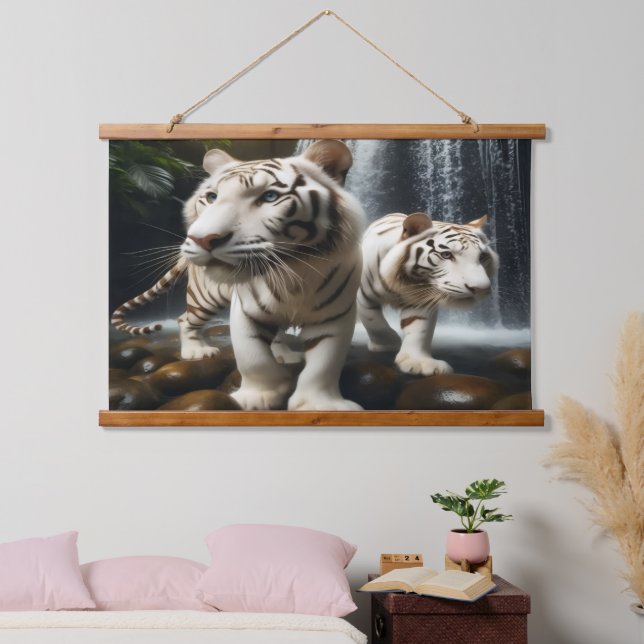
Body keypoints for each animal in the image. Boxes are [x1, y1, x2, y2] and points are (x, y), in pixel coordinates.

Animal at [111, 140, 366, 411]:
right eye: (211, 197)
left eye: (270, 197)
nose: (201, 239)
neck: (292, 269)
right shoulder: (245, 310)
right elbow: (253, 357)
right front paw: (259, 396)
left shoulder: (335, 316)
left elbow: (324, 365)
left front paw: (319, 404)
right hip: (205, 297)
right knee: (185, 319)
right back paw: (196, 351)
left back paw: (284, 355)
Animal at [357, 212, 499, 376]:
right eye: (446, 255)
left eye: (482, 257)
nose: (481, 288)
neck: (404, 281)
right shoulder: (362, 296)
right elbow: (373, 320)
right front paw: (387, 344)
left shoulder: (421, 301)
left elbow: (419, 329)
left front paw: (418, 361)